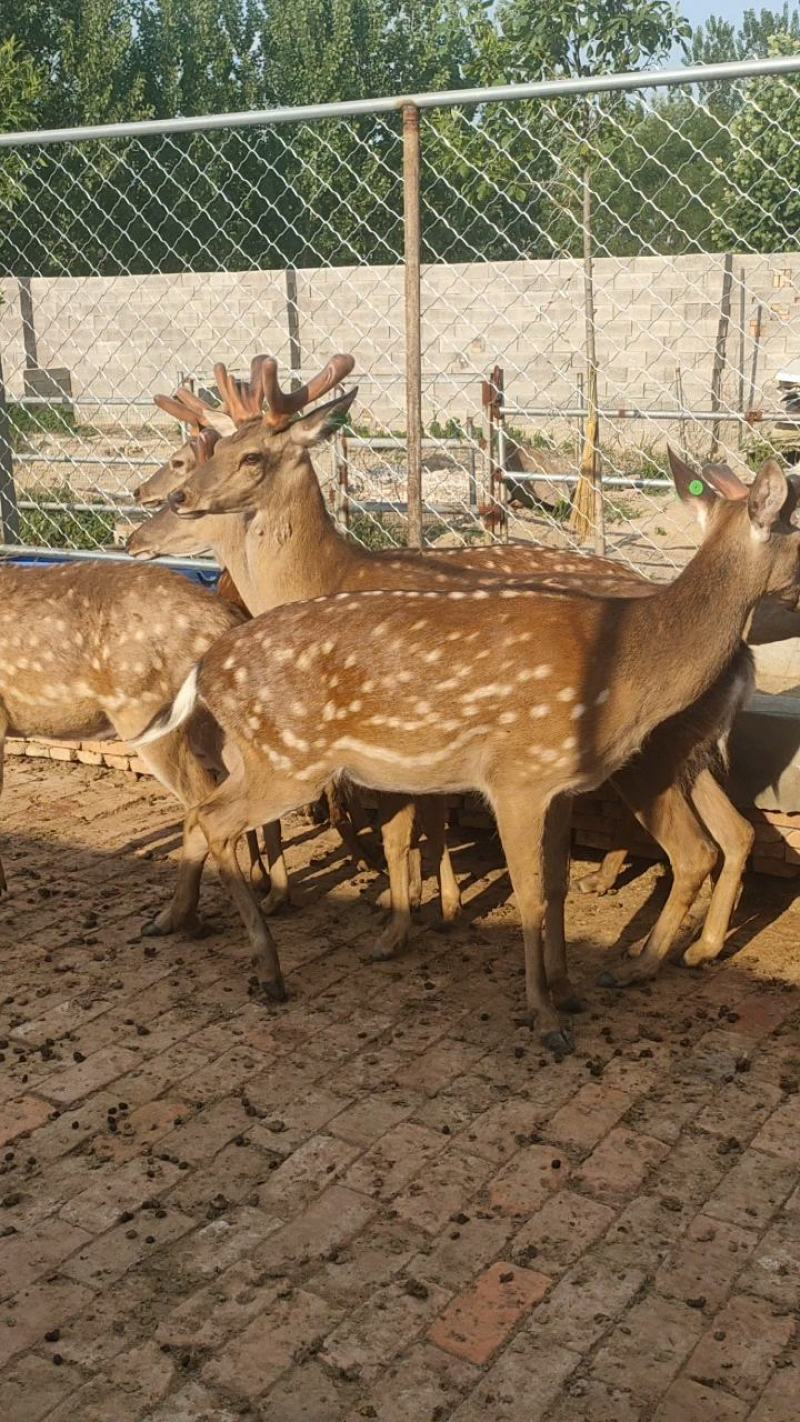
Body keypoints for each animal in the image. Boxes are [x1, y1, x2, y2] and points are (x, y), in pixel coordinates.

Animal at [128, 358, 781, 977]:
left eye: (247, 455)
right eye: (210, 450)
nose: (153, 510)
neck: (328, 575)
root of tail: (741, 659)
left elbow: (405, 831)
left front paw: (406, 917)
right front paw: (424, 906)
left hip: (658, 748)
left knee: (698, 843)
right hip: (690, 752)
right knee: (736, 832)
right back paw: (695, 943)